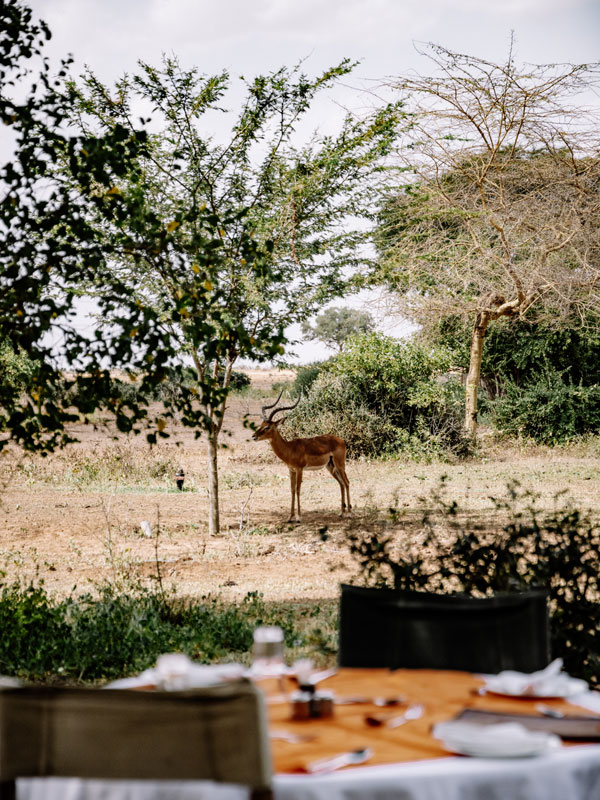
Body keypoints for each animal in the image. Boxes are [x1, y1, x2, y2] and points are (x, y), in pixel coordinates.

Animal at [252, 390, 351, 523]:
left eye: (268, 426)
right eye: (261, 424)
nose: (254, 436)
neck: (289, 448)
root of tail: (341, 440)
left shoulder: (300, 469)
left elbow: (298, 489)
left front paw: (298, 517)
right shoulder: (291, 470)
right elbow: (292, 490)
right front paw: (290, 517)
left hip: (340, 465)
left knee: (347, 482)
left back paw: (349, 513)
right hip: (330, 467)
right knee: (341, 483)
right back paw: (341, 512)